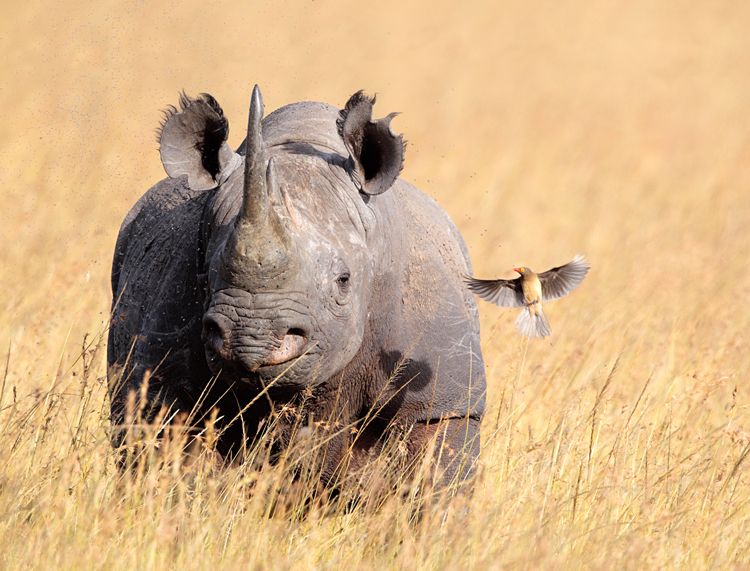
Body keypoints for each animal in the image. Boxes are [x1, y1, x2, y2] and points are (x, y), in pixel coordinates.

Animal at [108, 86, 490, 488]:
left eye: (343, 281)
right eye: (206, 278)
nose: (251, 338)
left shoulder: (443, 400)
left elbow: (435, 474)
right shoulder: (160, 388)